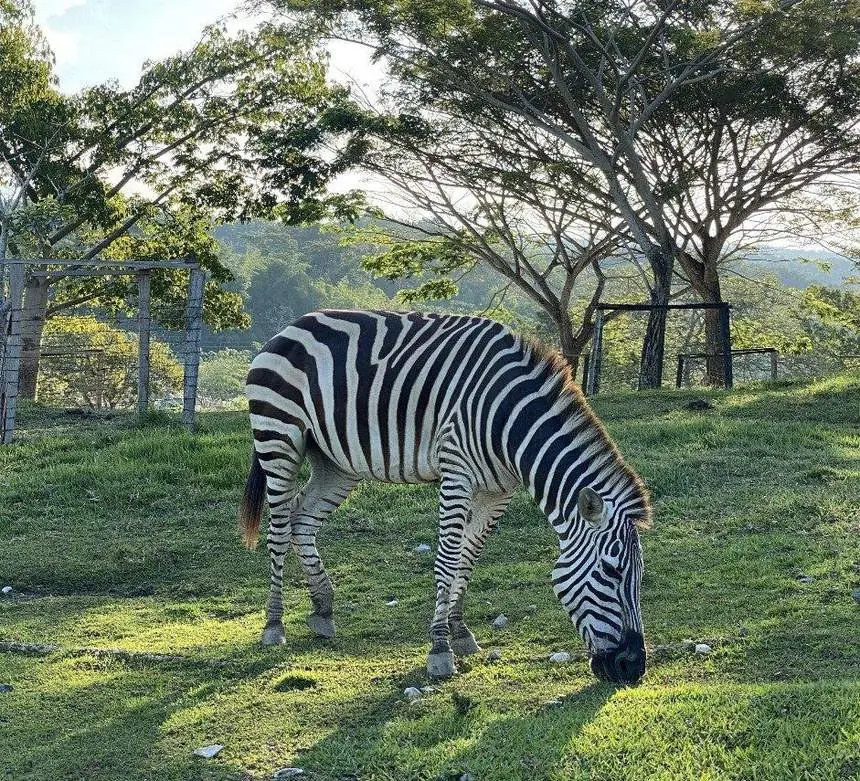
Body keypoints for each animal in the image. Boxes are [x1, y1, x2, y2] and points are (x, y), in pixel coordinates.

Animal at [239, 310, 652, 684]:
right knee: (279, 530)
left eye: (640, 576)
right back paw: (274, 624)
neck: (510, 423)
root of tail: (289, 329)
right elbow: (448, 560)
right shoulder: (456, 475)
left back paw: (323, 609)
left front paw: (459, 630)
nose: (633, 668)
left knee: (302, 520)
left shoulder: (498, 491)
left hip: (335, 462)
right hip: (280, 439)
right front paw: (439, 648)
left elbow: (468, 558)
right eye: (612, 571)